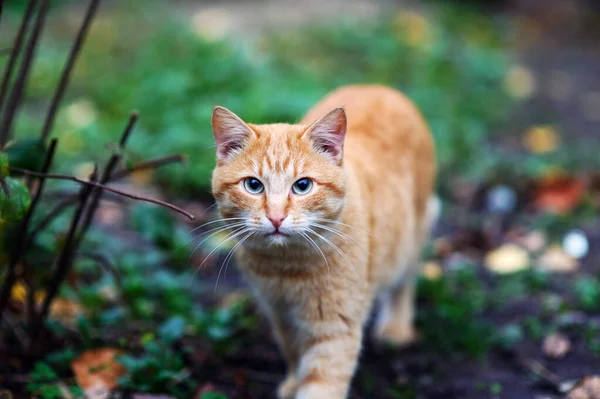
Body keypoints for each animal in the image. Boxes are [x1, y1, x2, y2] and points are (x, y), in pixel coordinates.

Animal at [210, 85, 436, 399]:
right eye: (253, 185)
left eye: (302, 186)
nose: (276, 217)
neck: (287, 268)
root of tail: (379, 87)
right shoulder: (280, 313)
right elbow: (293, 352)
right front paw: (293, 383)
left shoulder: (335, 327)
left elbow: (321, 382)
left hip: (415, 234)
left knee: (405, 279)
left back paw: (396, 326)